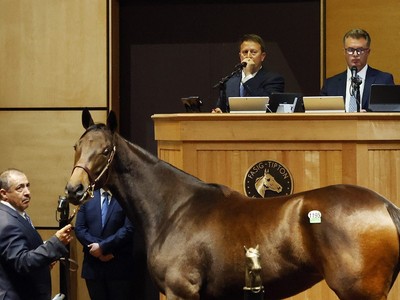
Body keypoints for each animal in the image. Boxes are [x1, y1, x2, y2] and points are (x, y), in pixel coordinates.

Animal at [66, 108, 400, 300]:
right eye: (77, 146)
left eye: (105, 150)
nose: (74, 189)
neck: (174, 209)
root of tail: (385, 206)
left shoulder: (180, 293)